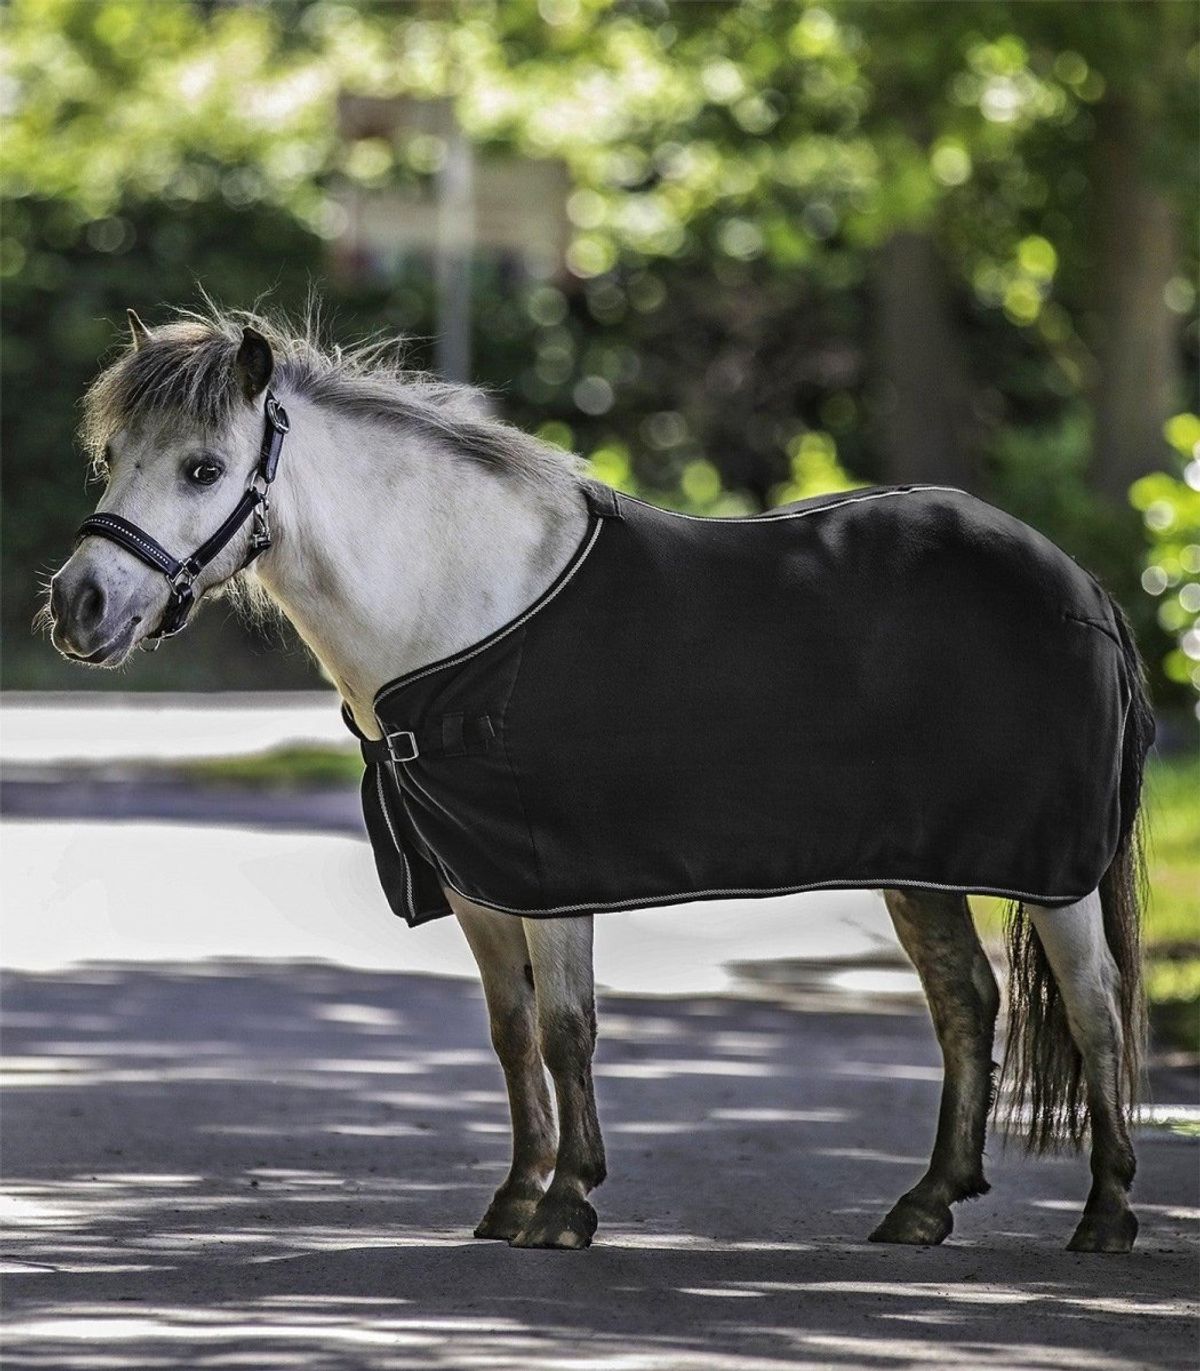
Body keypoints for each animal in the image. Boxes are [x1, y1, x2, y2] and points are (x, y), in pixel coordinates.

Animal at [49, 308, 1152, 1255]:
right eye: (111, 458)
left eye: (203, 467)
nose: (78, 605)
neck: (460, 607)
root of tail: (1083, 586)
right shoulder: (478, 883)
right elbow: (512, 1034)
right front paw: (516, 1195)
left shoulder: (549, 875)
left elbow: (567, 1029)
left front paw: (568, 1203)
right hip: (924, 868)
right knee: (966, 1002)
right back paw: (926, 1205)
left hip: (1053, 871)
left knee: (1097, 1007)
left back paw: (1105, 1214)